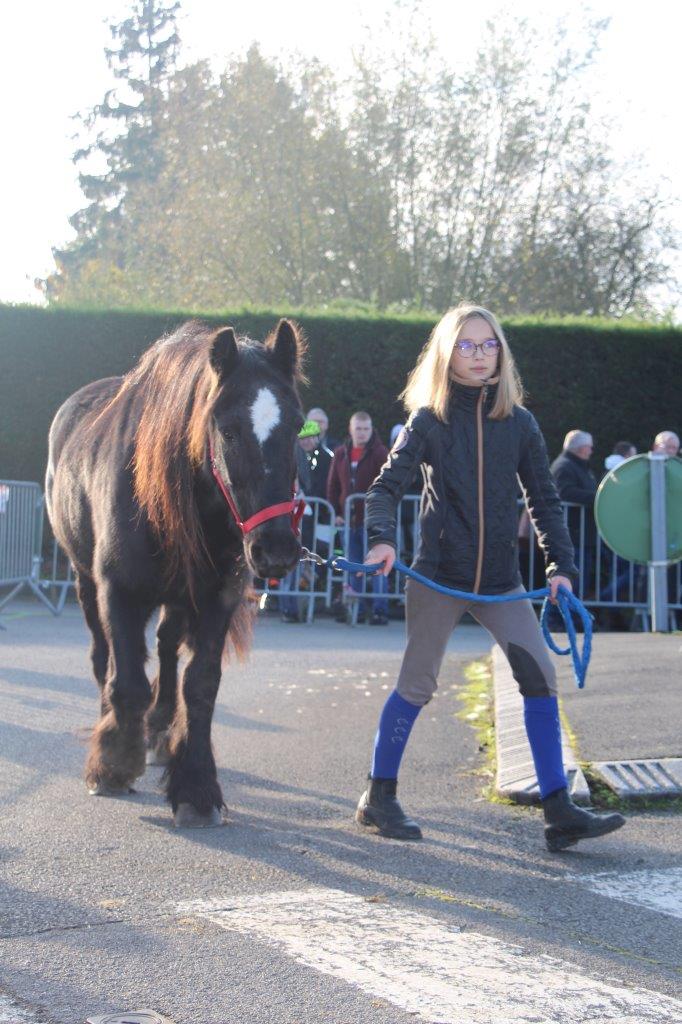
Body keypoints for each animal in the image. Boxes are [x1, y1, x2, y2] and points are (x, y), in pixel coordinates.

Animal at [46, 317, 303, 823]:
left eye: (297, 427)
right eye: (227, 430)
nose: (277, 549)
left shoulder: (217, 596)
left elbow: (200, 685)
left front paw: (196, 785)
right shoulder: (118, 590)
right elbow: (126, 680)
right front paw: (112, 764)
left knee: (166, 648)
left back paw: (161, 729)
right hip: (85, 583)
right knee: (103, 658)